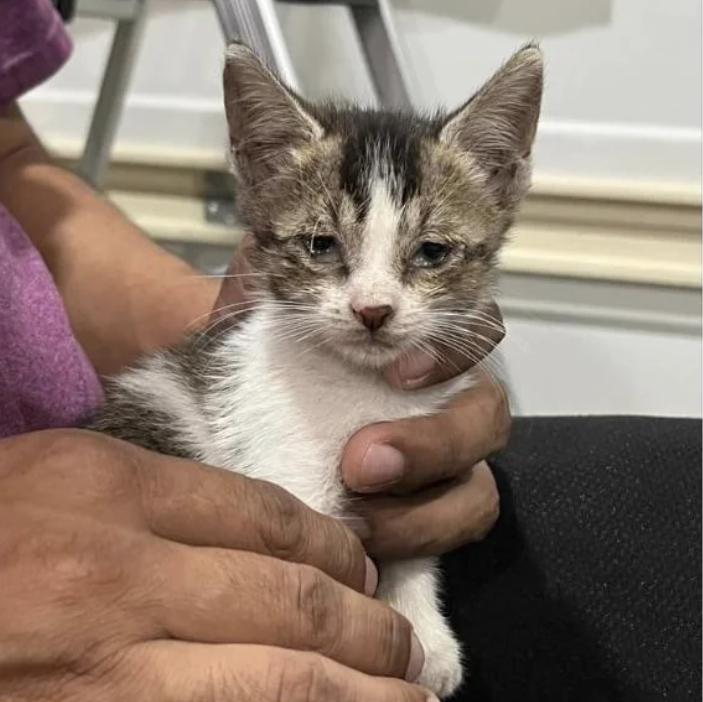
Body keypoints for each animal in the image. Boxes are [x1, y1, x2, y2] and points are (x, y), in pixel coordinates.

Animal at [88, 42, 544, 700]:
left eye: (432, 252)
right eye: (320, 245)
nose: (373, 310)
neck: (361, 388)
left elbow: (414, 555)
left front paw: (425, 635)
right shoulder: (284, 471)